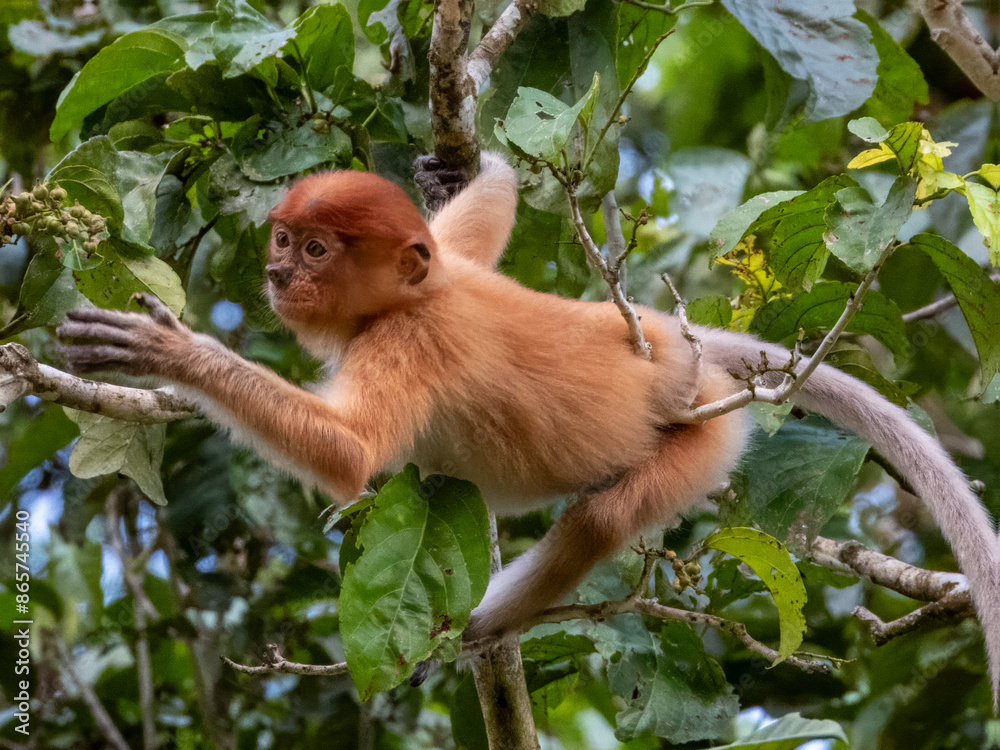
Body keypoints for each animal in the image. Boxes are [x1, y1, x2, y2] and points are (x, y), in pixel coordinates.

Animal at [57, 151, 1000, 700]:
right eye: (285, 237)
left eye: (318, 249)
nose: (280, 271)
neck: (418, 296)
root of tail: (684, 361)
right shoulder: (443, 270)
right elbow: (467, 233)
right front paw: (468, 173)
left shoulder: (408, 339)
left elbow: (353, 452)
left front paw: (172, 354)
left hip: (704, 440)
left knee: (604, 517)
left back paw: (479, 629)